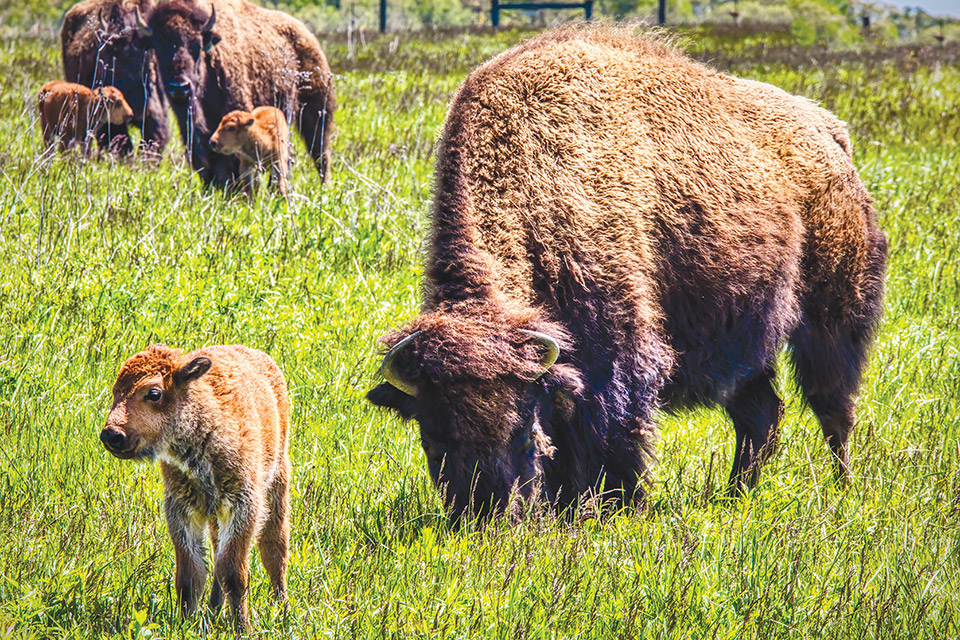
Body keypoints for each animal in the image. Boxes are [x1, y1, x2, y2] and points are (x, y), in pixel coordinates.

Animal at [100, 342, 292, 632]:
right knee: (216, 550)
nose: (112, 435)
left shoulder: (243, 506)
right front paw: (185, 623)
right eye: (116, 391)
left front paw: (242, 627)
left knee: (274, 548)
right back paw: (214, 608)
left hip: (277, 484)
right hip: (214, 515)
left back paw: (284, 610)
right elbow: (191, 574)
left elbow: (234, 573)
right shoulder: (182, 509)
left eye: (153, 393)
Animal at [135, 0, 336, 189]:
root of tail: (308, 36)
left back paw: (323, 187)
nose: (179, 87)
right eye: (159, 45)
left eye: (197, 45)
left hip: (316, 114)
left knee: (320, 154)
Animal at [366, 26, 884, 524]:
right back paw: (733, 495)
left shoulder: (616, 351)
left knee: (833, 405)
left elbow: (613, 431)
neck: (533, 181)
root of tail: (829, 133)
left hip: (831, 313)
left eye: (523, 431)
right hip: (746, 343)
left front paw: (615, 507)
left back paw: (842, 488)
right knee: (761, 415)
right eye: (431, 438)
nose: (485, 516)